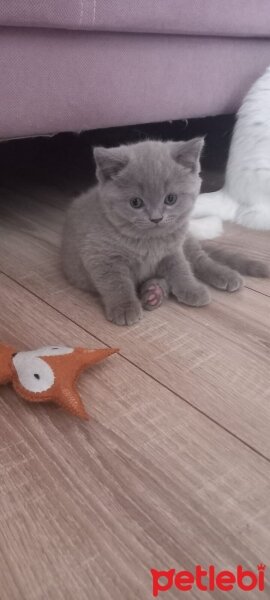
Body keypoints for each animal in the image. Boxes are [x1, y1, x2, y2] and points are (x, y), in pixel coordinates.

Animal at [62, 139, 268, 326]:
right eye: (136, 202)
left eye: (170, 199)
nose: (156, 218)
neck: (148, 241)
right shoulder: (100, 255)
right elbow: (115, 283)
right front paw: (125, 307)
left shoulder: (173, 250)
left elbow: (181, 269)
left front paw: (192, 289)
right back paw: (153, 293)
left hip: (187, 241)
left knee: (201, 261)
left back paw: (224, 276)